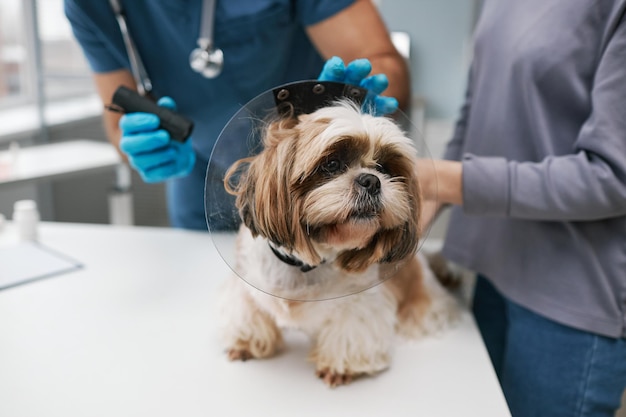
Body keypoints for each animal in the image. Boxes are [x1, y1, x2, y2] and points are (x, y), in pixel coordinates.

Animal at [217, 99, 456, 386]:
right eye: (331, 164)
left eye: (384, 169)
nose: (371, 180)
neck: (305, 265)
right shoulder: (246, 284)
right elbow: (248, 313)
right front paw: (246, 342)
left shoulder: (360, 302)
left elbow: (350, 330)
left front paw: (341, 366)